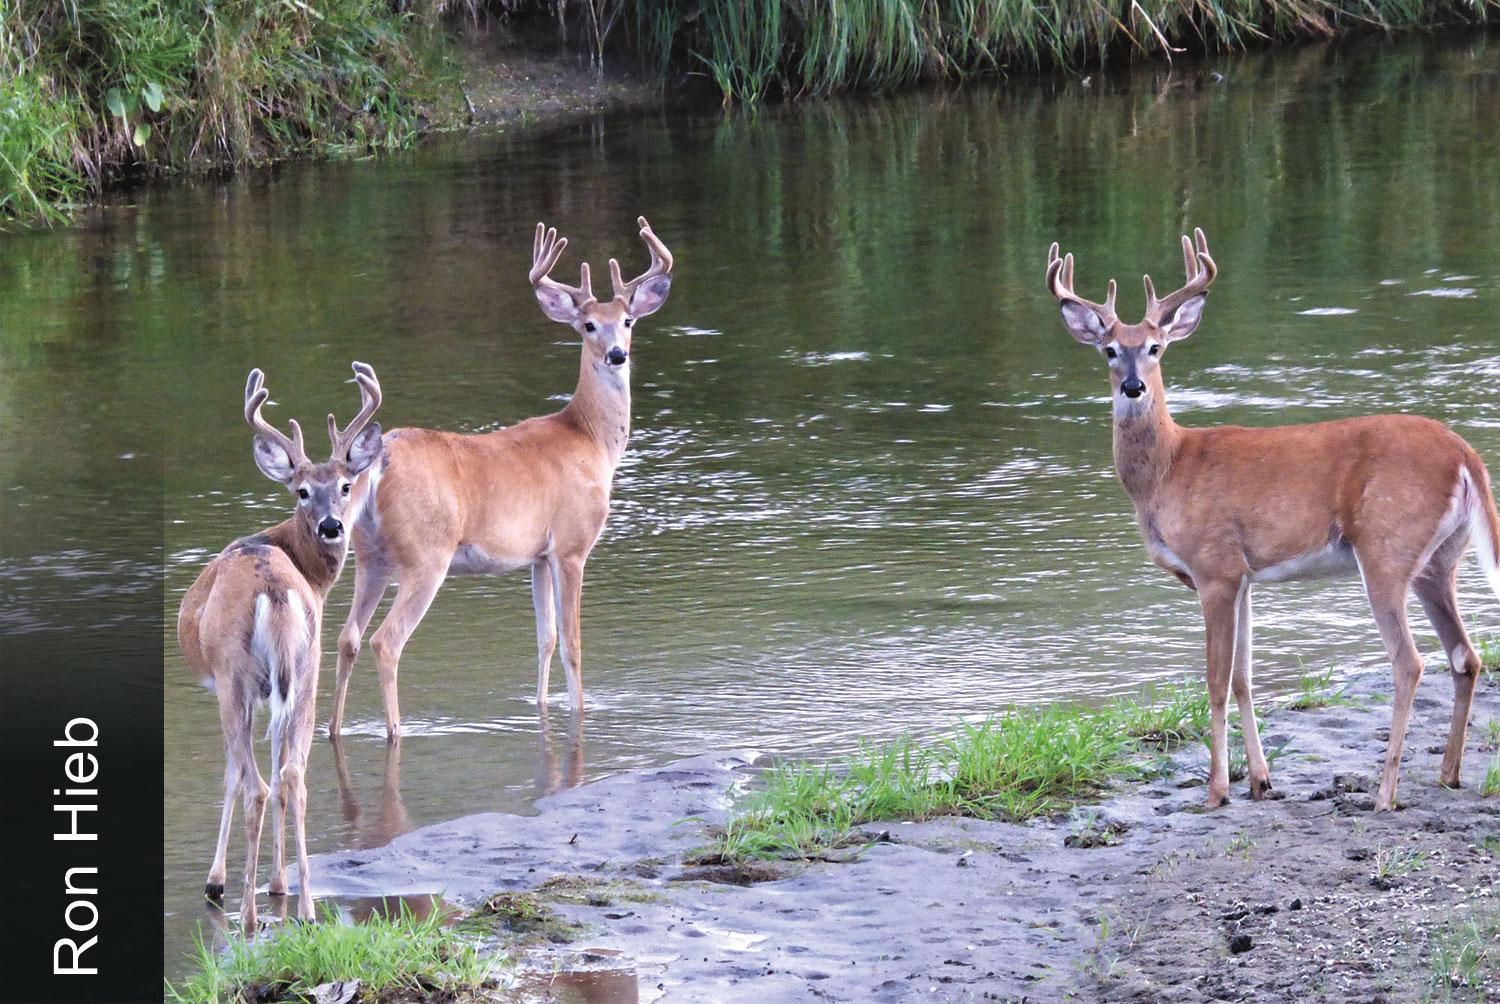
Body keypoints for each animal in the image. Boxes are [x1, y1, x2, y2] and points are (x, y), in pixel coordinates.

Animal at [336, 216, 681, 741]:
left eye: (628, 321)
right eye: (588, 325)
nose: (617, 355)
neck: (589, 439)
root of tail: (377, 463)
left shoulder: (537, 555)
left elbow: (545, 638)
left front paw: (541, 706)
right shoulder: (572, 544)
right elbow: (573, 643)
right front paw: (581, 709)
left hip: (369, 554)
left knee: (347, 637)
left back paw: (333, 730)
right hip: (425, 554)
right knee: (385, 641)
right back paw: (396, 731)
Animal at [1044, 231, 1500, 810]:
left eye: (1154, 347)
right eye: (1108, 350)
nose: (1132, 387)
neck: (1169, 470)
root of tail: (1466, 454)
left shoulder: (1214, 567)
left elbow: (1216, 680)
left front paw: (1216, 790)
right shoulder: (1243, 577)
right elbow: (1244, 678)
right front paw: (1260, 781)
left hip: (1387, 547)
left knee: (1410, 661)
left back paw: (1384, 793)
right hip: (1439, 560)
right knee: (1465, 655)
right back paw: (1448, 774)